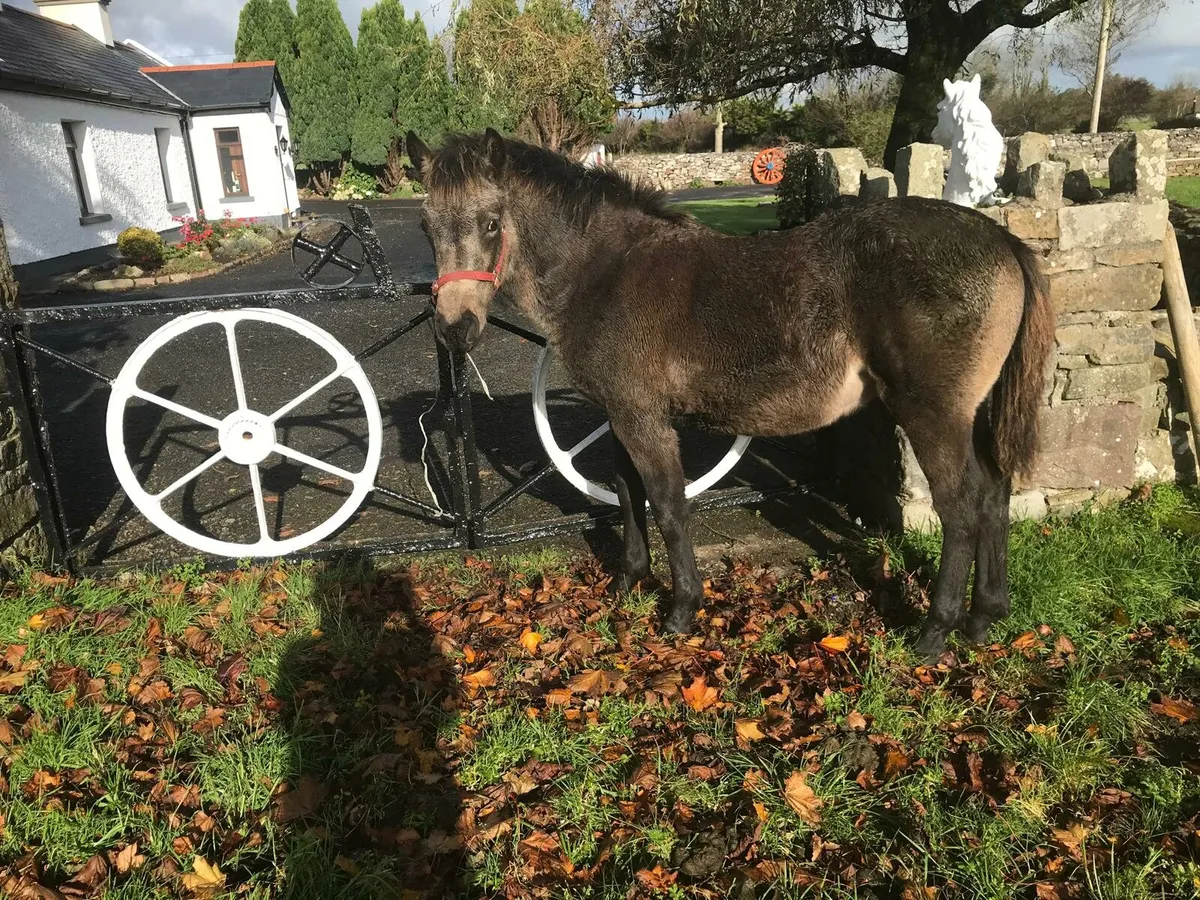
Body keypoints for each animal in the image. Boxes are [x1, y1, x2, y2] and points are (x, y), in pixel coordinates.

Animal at [406, 128, 1054, 660]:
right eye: (425, 227)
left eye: (493, 222)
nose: (454, 328)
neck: (607, 271)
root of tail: (1003, 241)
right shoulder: (621, 413)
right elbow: (626, 492)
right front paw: (627, 582)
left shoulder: (644, 419)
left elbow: (667, 504)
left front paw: (680, 611)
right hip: (972, 414)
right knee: (994, 493)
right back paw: (984, 619)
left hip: (932, 414)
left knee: (961, 510)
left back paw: (934, 632)